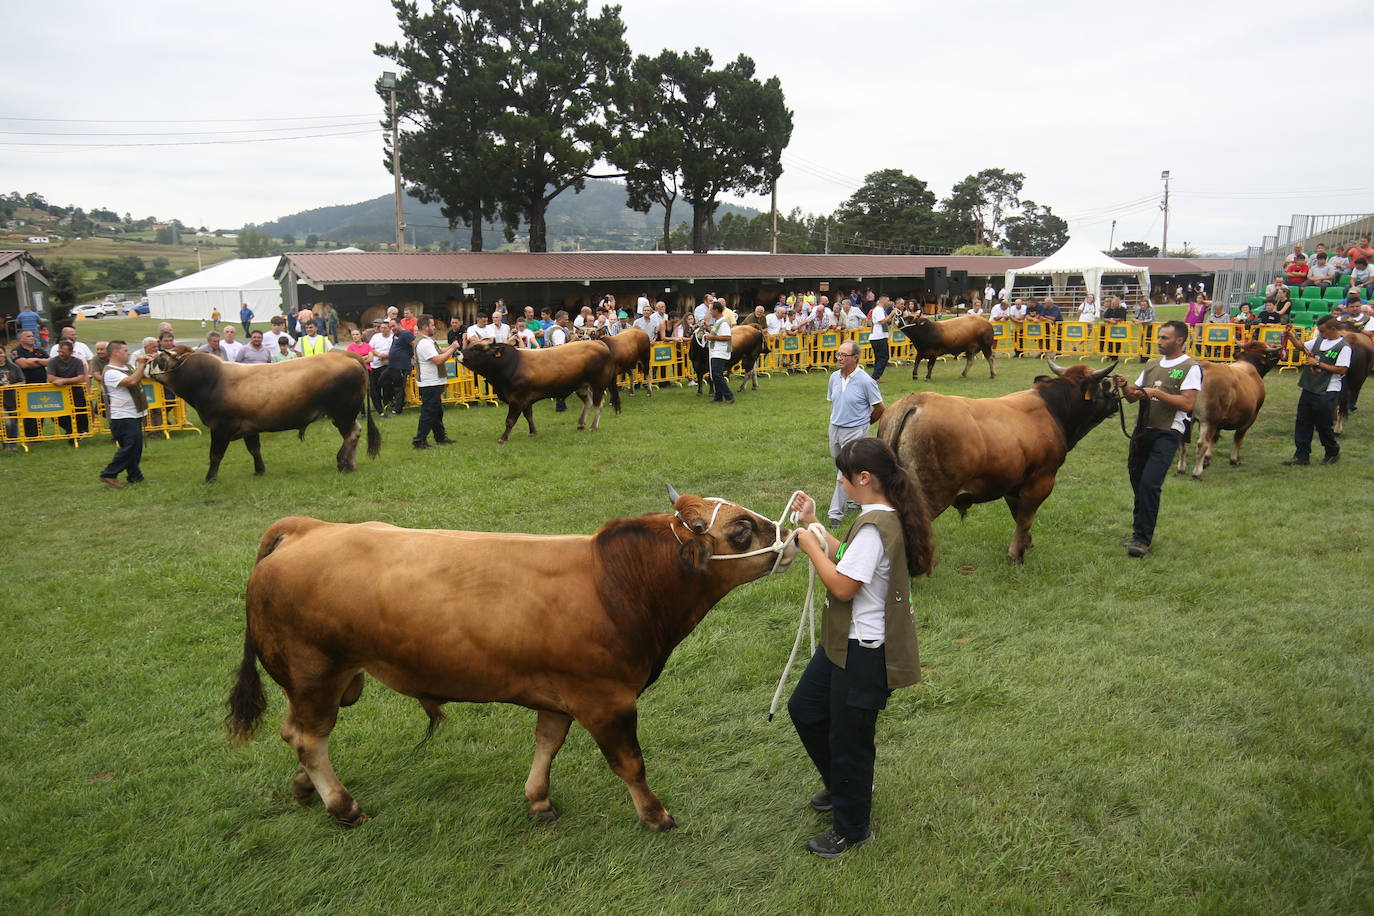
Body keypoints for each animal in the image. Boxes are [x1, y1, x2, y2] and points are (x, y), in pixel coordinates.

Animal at [144, 347, 379, 483]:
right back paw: (349, 463)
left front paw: (210, 478)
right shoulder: (250, 427)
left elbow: (215, 455)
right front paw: (259, 470)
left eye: (160, 359)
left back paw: (343, 463)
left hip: (343, 414)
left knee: (352, 433)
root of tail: (345, 354)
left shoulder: (221, 427)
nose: (144, 363)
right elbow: (254, 449)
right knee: (354, 433)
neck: (211, 380)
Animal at [226, 494, 802, 829]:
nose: (793, 535)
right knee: (307, 737)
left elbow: (547, 742)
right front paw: (655, 814)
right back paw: (343, 806)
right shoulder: (607, 698)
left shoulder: (561, 692)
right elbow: (630, 763)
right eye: (742, 529)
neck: (617, 582)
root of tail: (309, 528)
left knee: (300, 734)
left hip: (329, 680)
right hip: (315, 672)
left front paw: (539, 799)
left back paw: (305, 788)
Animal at [461, 341, 623, 444]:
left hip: (598, 385)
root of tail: (600, 343)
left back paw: (593, 427)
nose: (458, 352)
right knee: (588, 402)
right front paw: (533, 432)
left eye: (477, 348)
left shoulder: (517, 399)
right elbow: (529, 416)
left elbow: (510, 420)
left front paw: (503, 438)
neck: (512, 364)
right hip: (581, 386)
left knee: (598, 405)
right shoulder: (525, 399)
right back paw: (581, 424)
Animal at [873, 359, 1121, 563]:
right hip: (929, 495)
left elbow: (1018, 515)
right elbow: (1026, 517)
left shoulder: (1012, 484)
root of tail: (916, 401)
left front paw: (1026, 543)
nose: (1117, 402)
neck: (1053, 409)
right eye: (1105, 384)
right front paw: (1016, 555)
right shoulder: (1041, 481)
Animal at [1176, 339, 1280, 480]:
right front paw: (1234, 459)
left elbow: (1214, 438)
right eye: (1269, 352)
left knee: (1183, 440)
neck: (1249, 365)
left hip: (1189, 418)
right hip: (1208, 420)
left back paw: (1181, 468)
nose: (1280, 351)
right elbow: (1238, 437)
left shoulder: (1218, 422)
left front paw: (1207, 459)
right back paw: (1197, 473)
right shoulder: (1250, 417)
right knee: (1202, 444)